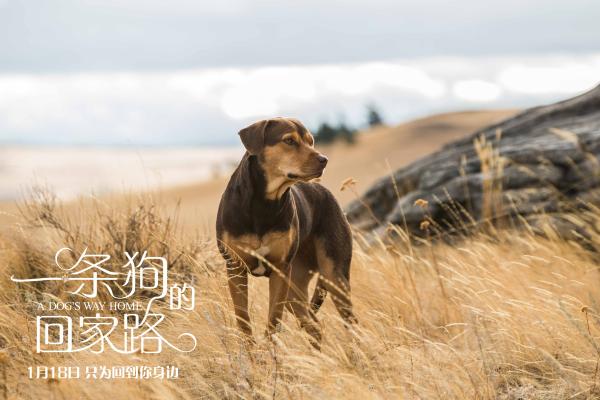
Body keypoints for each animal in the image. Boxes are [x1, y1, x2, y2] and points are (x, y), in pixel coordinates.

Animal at [217, 116, 354, 346]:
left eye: (311, 141)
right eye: (289, 140)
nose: (324, 160)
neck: (263, 203)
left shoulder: (280, 269)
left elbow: (273, 321)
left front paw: (270, 353)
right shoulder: (235, 267)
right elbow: (243, 320)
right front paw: (250, 352)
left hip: (333, 276)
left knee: (350, 324)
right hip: (295, 287)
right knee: (314, 325)